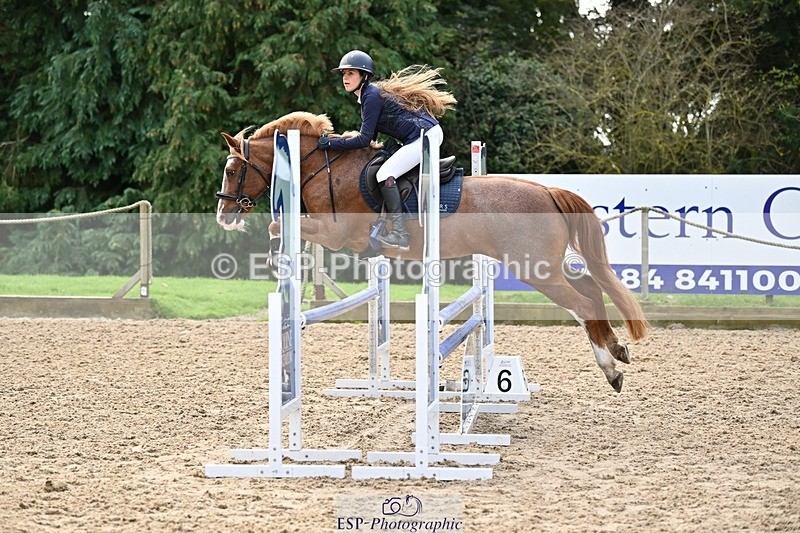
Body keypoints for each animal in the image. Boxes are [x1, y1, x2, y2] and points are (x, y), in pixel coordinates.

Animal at [215, 111, 649, 392]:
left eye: (232, 171)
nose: (223, 216)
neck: (324, 169)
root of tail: (547, 191)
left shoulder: (338, 235)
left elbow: (277, 226)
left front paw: (277, 254)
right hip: (545, 266)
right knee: (591, 289)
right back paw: (618, 349)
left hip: (535, 268)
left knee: (582, 301)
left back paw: (610, 369)